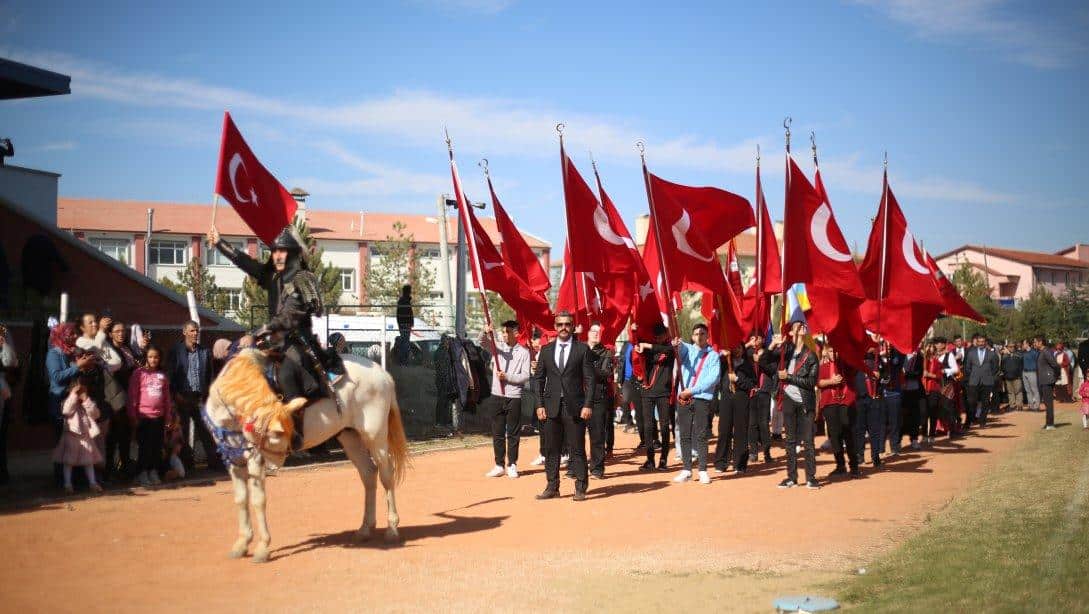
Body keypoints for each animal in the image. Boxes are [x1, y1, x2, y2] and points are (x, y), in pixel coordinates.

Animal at [203, 348, 409, 561]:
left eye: (274, 436)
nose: (271, 467)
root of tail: (382, 373)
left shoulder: (253, 459)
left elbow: (258, 500)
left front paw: (262, 548)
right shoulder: (233, 461)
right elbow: (241, 498)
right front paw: (242, 544)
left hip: (375, 436)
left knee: (386, 476)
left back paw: (392, 529)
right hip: (350, 436)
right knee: (368, 473)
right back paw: (365, 529)